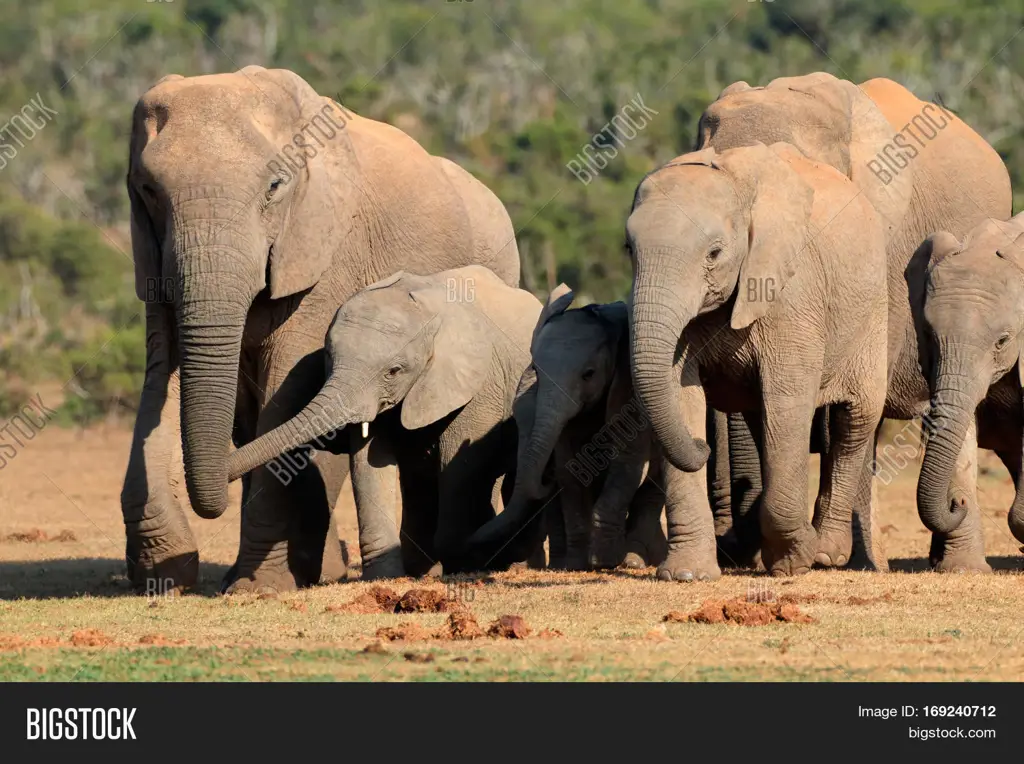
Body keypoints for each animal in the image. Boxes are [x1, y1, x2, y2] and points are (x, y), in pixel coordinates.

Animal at [225, 264, 540, 573]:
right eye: (329, 357)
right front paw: (384, 575)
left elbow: (460, 463)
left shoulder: (479, 384)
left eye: (394, 371)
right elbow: (367, 464)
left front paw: (466, 564)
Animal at [468, 286, 667, 573]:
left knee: (652, 487)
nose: (469, 545)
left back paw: (634, 561)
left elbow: (626, 463)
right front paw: (576, 565)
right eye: (536, 371)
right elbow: (570, 468)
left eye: (589, 374)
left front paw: (603, 562)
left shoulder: (628, 388)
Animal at [622, 138, 888, 577]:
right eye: (628, 250)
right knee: (764, 424)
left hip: (873, 311)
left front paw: (794, 560)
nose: (703, 445)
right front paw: (687, 574)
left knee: (855, 419)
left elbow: (788, 399)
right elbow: (681, 395)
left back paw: (825, 554)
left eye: (714, 253)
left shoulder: (793, 293)